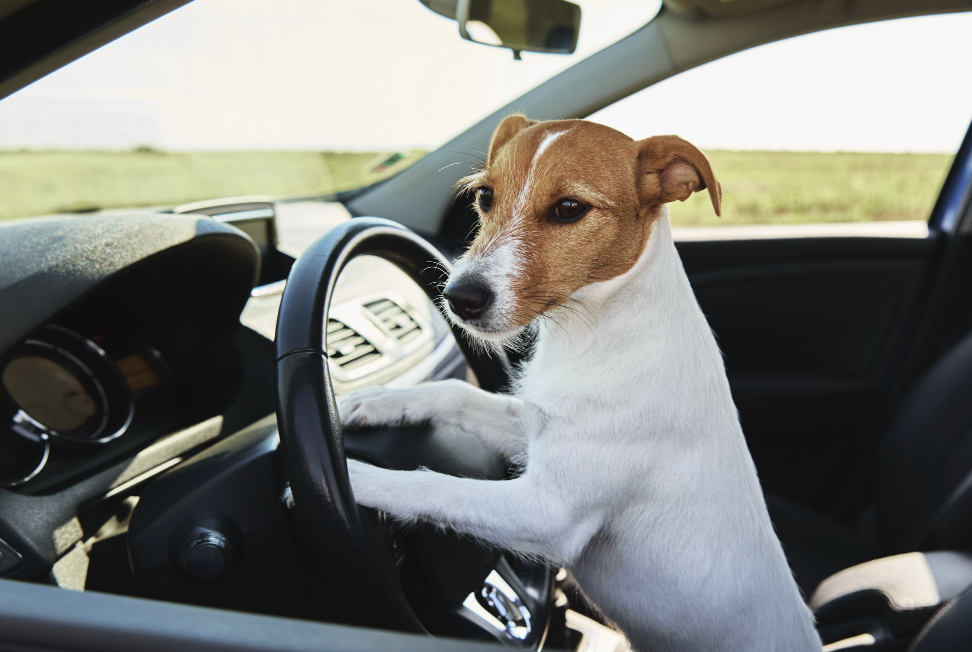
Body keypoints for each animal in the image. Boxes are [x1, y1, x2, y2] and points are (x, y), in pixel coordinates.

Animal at [328, 117, 820, 652]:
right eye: (484, 196)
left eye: (569, 209)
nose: (458, 298)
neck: (592, 333)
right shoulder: (532, 425)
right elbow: (454, 393)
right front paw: (375, 401)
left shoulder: (547, 512)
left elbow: (430, 487)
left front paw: (349, 477)